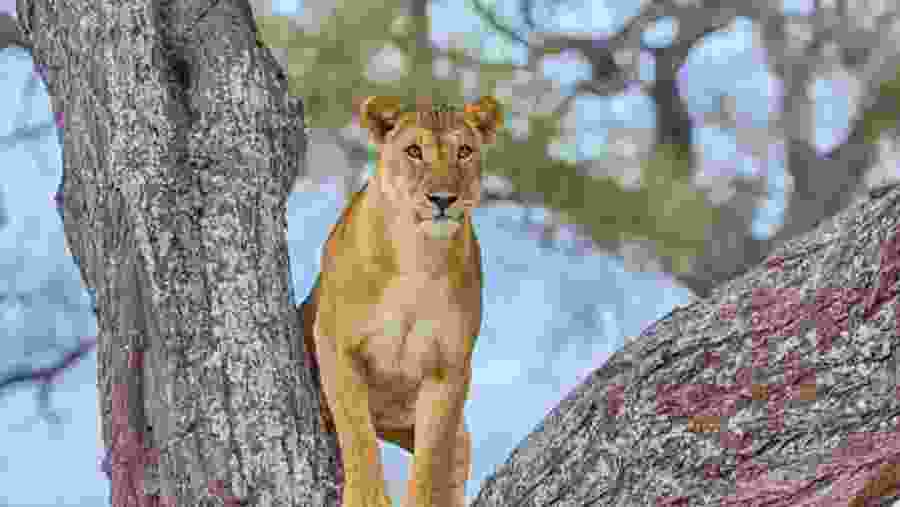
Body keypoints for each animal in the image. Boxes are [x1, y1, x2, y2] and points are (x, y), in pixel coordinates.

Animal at [299, 95, 502, 507]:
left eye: (464, 151)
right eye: (414, 151)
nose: (442, 199)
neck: (419, 258)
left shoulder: (450, 367)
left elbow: (432, 457)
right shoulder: (335, 343)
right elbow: (357, 433)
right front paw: (366, 498)